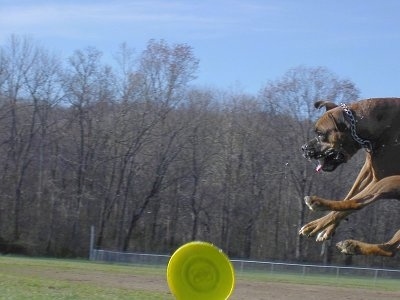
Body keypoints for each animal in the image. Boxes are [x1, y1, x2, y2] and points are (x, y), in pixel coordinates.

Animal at [300, 98, 400, 255]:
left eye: (321, 134)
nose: (303, 148)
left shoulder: (379, 177)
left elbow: (352, 200)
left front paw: (321, 226)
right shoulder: (368, 171)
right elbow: (350, 194)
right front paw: (328, 230)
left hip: (390, 181)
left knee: (358, 203)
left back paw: (316, 206)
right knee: (390, 249)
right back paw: (352, 246)